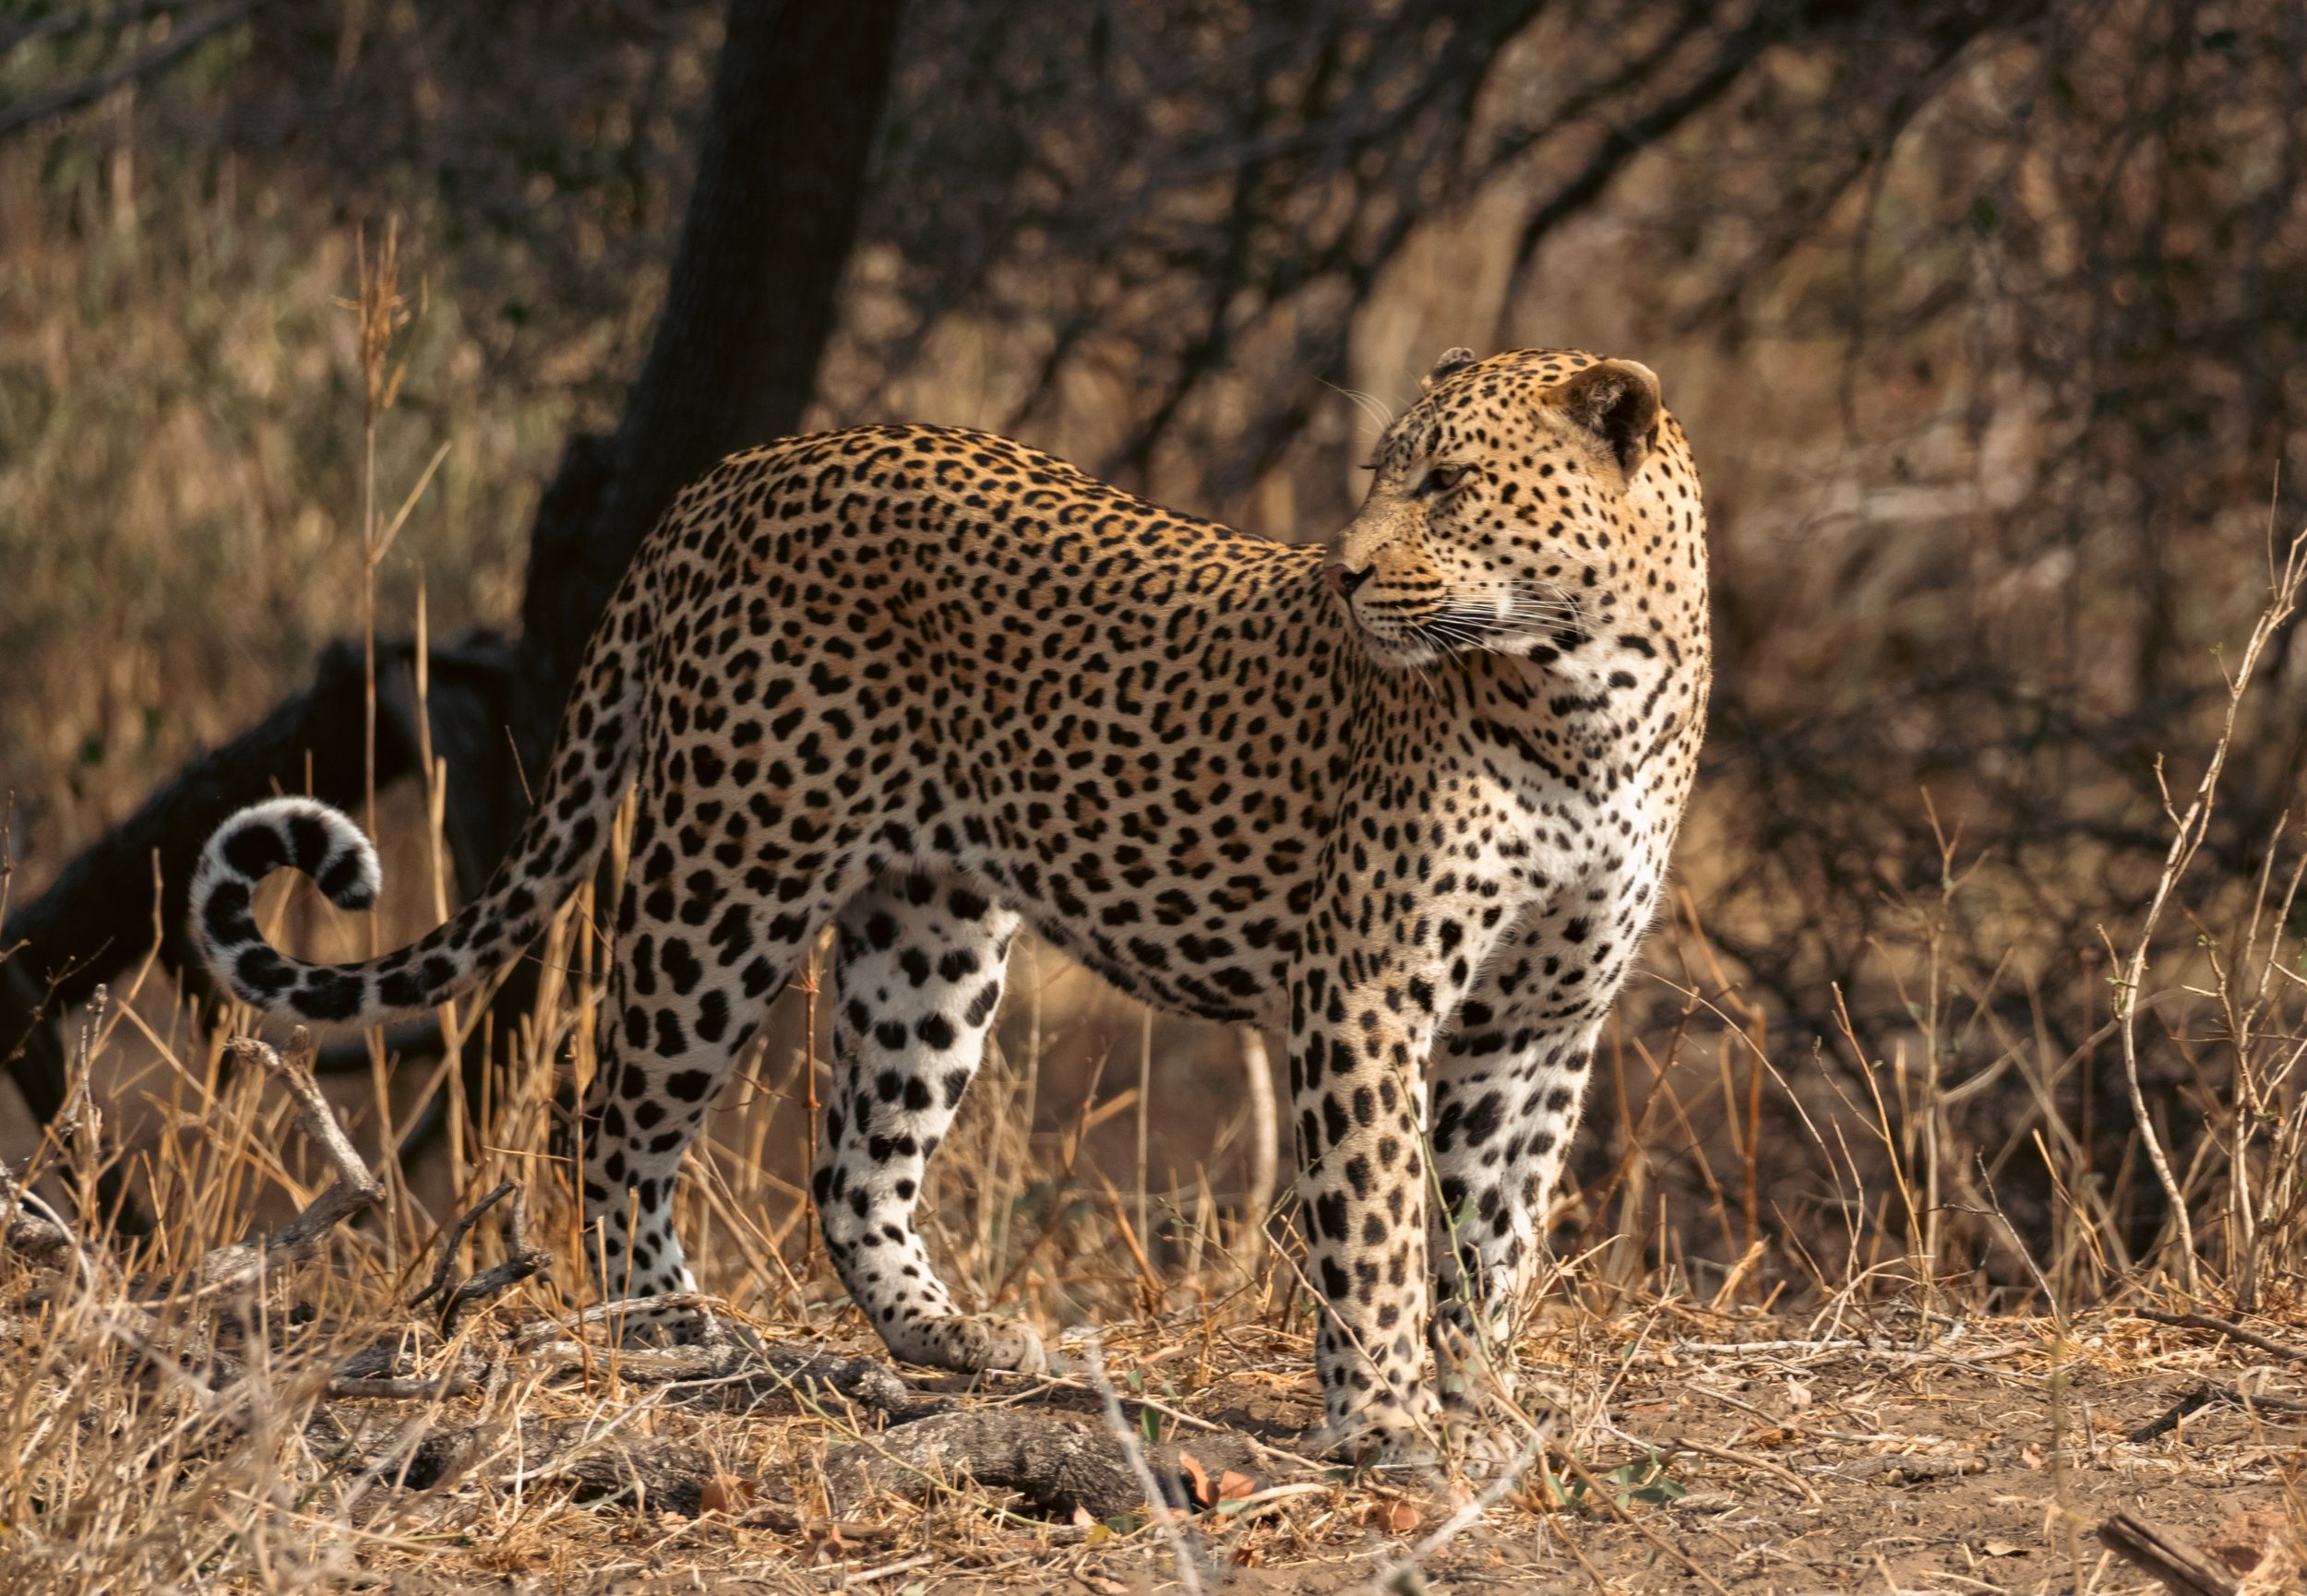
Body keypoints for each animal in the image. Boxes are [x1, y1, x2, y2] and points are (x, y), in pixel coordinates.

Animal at [190, 345, 1709, 1463]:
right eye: (1388, 475)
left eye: (1448, 483)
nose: (1340, 572)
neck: (1591, 704)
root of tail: (737, 473)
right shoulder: (1367, 992)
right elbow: (1383, 1217)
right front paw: (1386, 1420)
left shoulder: (1539, 1024)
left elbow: (1494, 1226)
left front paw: (1481, 1396)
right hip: (731, 871)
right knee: (610, 1109)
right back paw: (668, 1330)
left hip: (932, 929)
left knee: (853, 1165)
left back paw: (958, 1340)